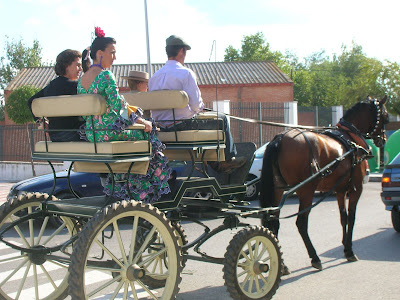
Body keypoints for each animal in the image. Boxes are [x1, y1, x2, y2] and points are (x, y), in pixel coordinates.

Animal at [260, 96, 388, 272]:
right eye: (386, 117)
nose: (383, 140)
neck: (350, 137)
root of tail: (280, 139)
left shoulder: (341, 190)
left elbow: (343, 217)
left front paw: (345, 246)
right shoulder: (356, 189)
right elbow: (352, 217)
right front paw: (349, 250)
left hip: (278, 190)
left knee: (274, 222)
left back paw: (283, 265)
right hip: (306, 190)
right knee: (301, 223)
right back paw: (315, 258)